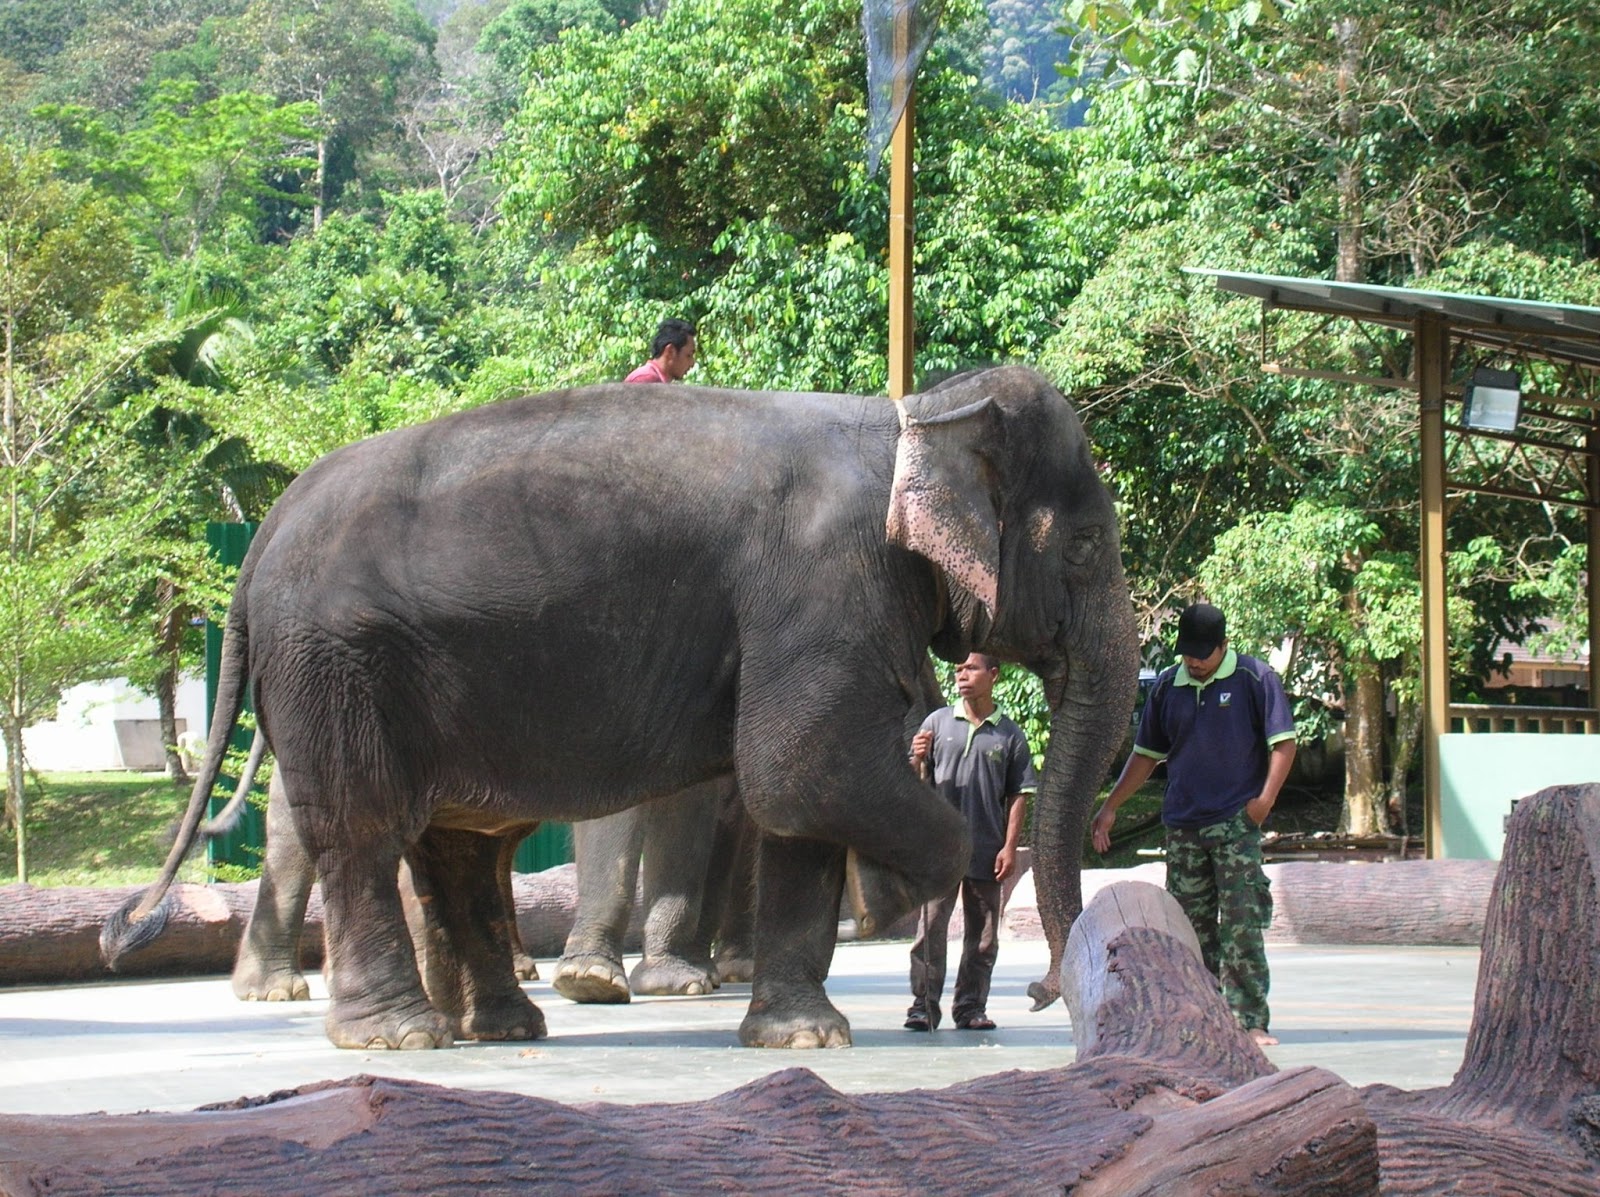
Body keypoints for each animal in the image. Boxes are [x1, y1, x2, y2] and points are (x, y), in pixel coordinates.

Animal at [104, 366, 1138, 1051]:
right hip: (335, 667)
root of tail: (259, 540)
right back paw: (401, 1037)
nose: (1044, 994)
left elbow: (793, 802)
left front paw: (801, 1038)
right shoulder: (822, 587)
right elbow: (797, 768)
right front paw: (899, 892)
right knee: (363, 831)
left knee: (457, 843)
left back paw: (505, 1028)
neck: (914, 414)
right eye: (1088, 545)